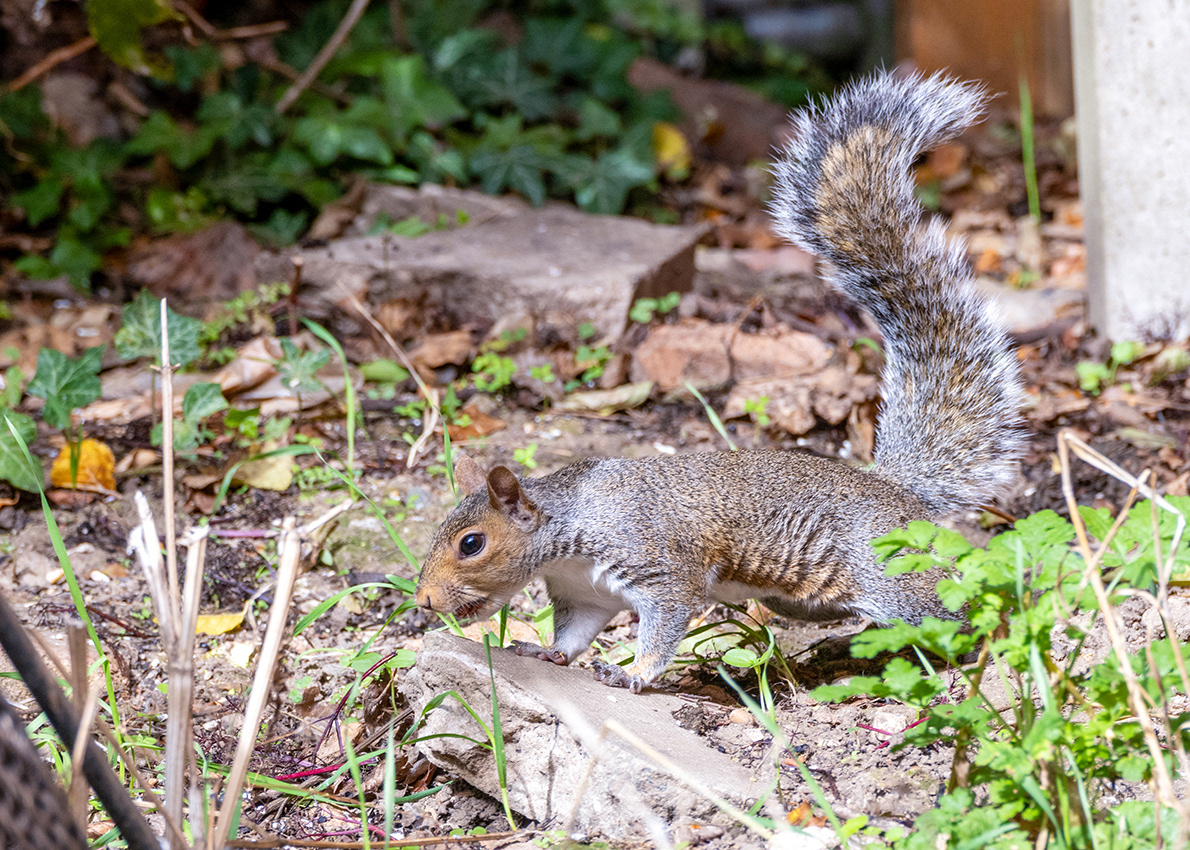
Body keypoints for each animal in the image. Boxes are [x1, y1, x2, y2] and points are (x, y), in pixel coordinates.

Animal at [413, 71, 1025, 693]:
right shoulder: (583, 594)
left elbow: (666, 621)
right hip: (803, 598)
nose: (424, 602)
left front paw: (633, 673)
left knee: (950, 615)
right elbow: (575, 634)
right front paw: (548, 653)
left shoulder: (658, 563)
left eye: (471, 544)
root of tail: (901, 496)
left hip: (892, 578)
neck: (568, 532)